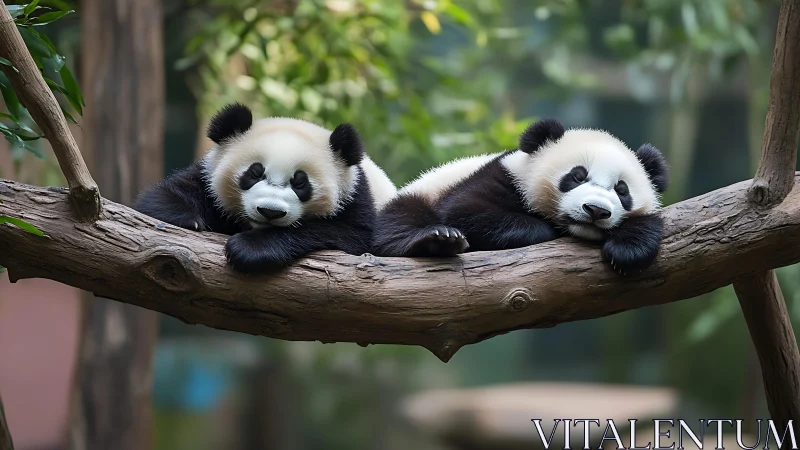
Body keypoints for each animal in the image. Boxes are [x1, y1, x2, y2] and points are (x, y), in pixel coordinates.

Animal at [135, 103, 397, 274]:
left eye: (300, 183)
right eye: (255, 173)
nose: (270, 211)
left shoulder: (355, 197)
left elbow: (348, 234)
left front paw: (251, 248)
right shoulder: (206, 176)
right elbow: (159, 197)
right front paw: (187, 217)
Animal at [371, 118, 669, 275]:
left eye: (622, 190)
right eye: (577, 176)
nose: (595, 210)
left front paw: (626, 249)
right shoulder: (499, 176)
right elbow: (465, 211)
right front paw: (547, 229)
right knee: (398, 223)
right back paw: (437, 241)